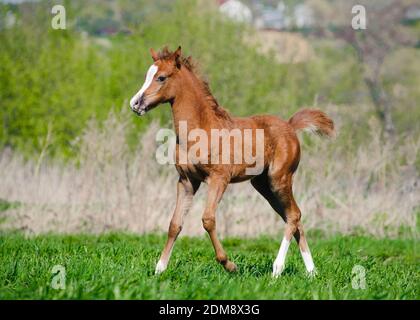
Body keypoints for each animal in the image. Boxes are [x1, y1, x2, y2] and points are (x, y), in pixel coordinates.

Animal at [130, 46, 334, 276]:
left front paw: (229, 264)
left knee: (293, 216)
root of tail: (290, 126)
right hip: (263, 185)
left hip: (279, 179)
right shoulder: (186, 181)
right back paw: (311, 272)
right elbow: (175, 223)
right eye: (147, 75)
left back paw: (277, 269)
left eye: (161, 77)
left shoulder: (219, 178)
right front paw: (160, 269)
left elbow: (208, 220)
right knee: (294, 217)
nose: (135, 103)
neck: (201, 128)